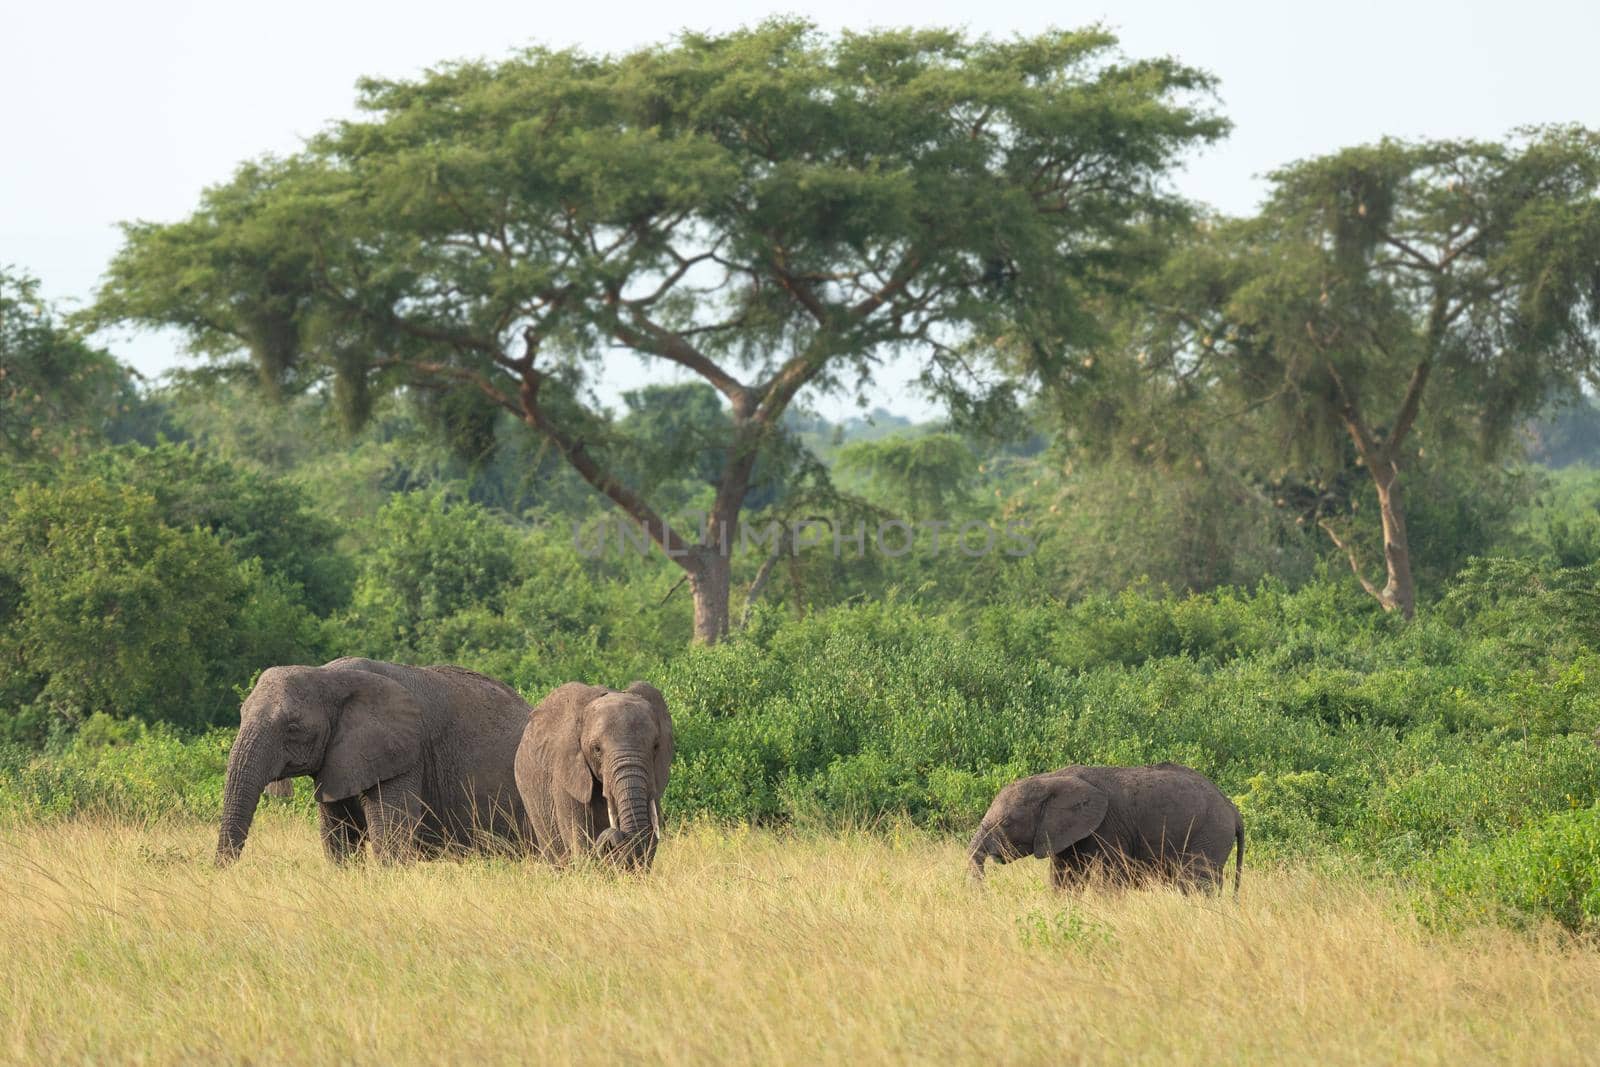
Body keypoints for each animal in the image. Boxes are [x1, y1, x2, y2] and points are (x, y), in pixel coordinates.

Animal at [214, 659, 531, 870]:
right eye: (242, 714)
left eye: (292, 727)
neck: (327, 676)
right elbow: (338, 837)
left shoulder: (404, 754)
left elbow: (390, 837)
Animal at [966, 758, 1241, 895]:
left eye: (1006, 823)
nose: (987, 895)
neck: (1051, 779)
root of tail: (1232, 808)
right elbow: (1063, 880)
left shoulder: (1108, 828)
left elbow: (1108, 882)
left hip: (1210, 834)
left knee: (1196, 884)